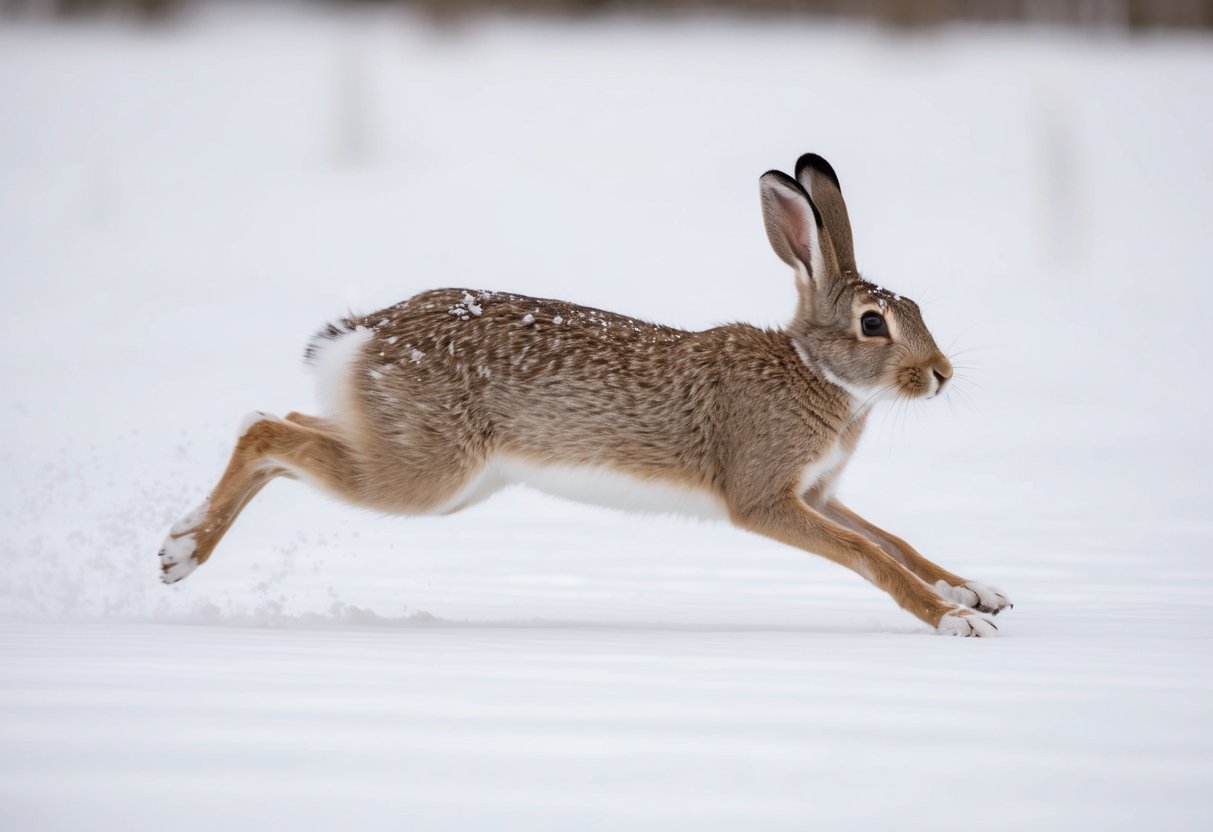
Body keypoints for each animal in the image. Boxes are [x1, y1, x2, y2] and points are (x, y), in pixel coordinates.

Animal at [159, 153, 1012, 636]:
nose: (940, 374)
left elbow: (893, 540)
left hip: (412, 458)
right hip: (427, 477)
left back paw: (182, 544)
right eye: (873, 324)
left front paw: (978, 592)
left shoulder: (818, 494)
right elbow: (869, 555)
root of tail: (364, 334)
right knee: (266, 431)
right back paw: (181, 555)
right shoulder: (766, 498)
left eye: (913, 310)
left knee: (281, 422)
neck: (810, 369)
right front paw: (952, 621)